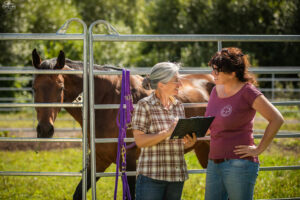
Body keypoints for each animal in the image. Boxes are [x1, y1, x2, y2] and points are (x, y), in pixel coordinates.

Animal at [31, 48, 214, 200]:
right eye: (34, 88)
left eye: (60, 88)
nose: (45, 129)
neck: (105, 102)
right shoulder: (99, 159)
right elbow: (78, 193)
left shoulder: (130, 161)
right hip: (203, 150)